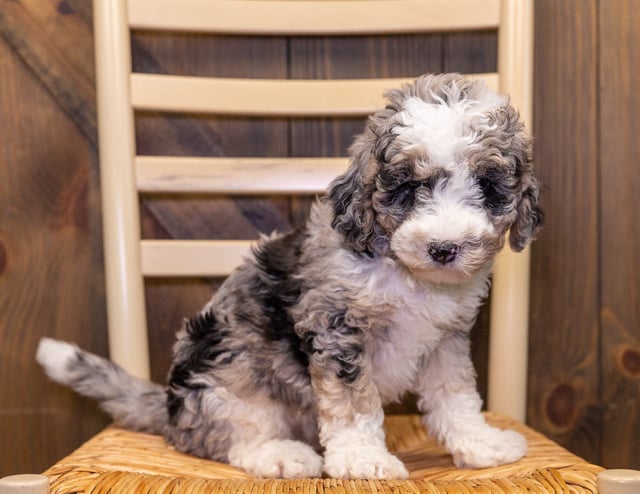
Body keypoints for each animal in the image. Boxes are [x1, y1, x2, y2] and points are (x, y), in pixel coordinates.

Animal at [37, 72, 544, 478]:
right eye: (406, 188)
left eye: (488, 187)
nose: (444, 249)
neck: (409, 277)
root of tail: (168, 409)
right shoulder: (337, 328)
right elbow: (353, 406)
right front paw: (363, 460)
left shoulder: (445, 339)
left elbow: (456, 397)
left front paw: (482, 444)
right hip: (225, 380)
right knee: (230, 439)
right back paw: (282, 455)